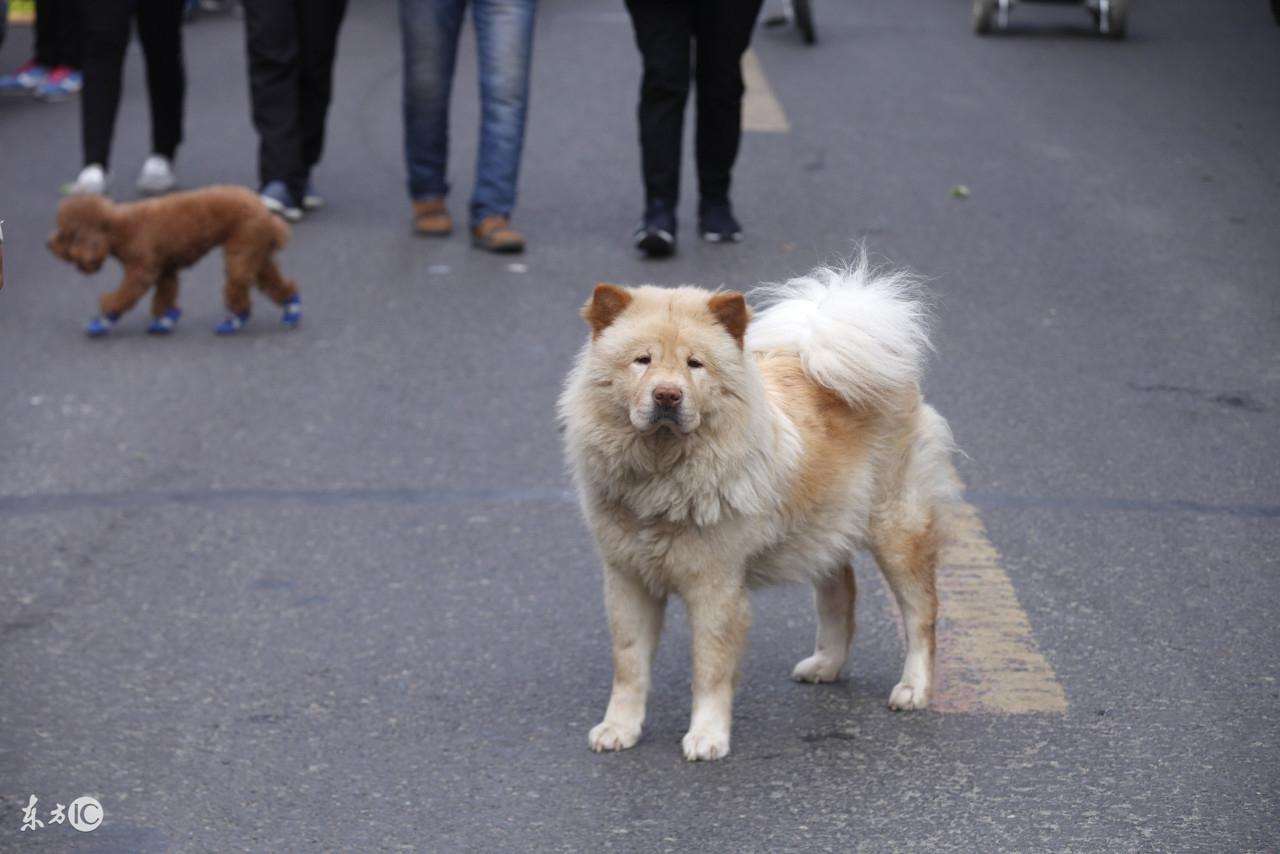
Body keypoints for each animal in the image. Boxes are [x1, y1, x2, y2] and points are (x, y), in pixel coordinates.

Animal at [560, 258, 962, 763]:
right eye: (643, 361)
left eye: (694, 364)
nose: (668, 395)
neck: (662, 473)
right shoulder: (628, 579)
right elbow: (630, 665)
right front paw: (619, 729)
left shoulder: (715, 588)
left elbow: (710, 669)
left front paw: (707, 737)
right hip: (820, 528)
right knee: (841, 592)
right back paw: (825, 664)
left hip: (895, 530)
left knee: (921, 613)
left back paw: (913, 689)